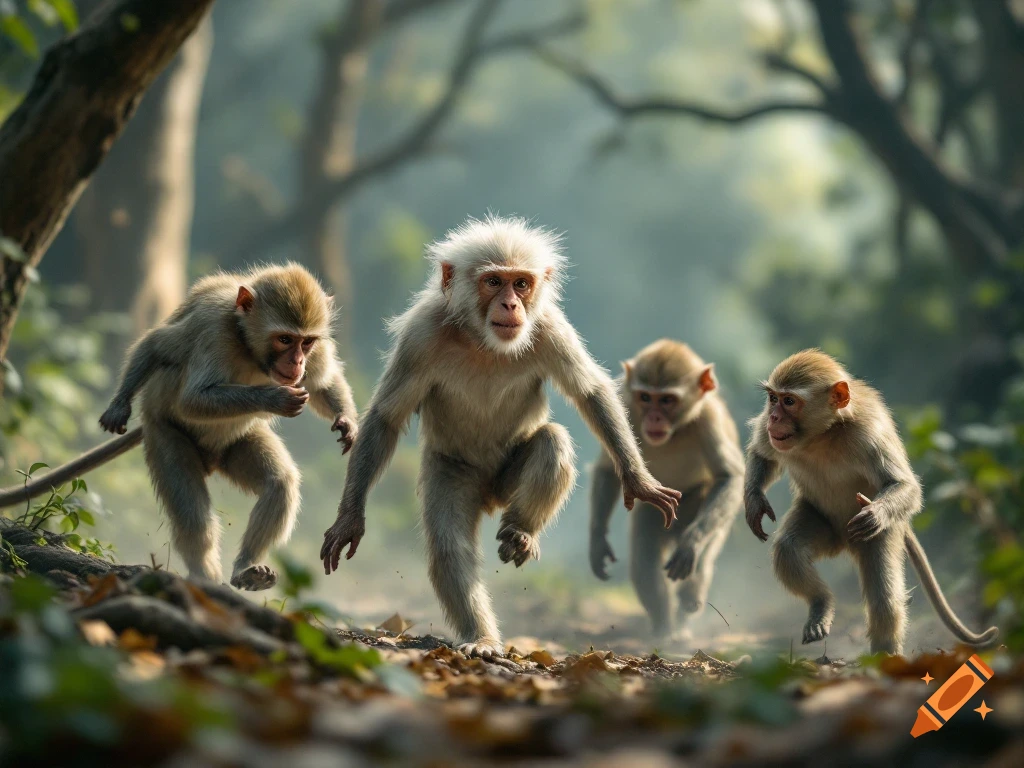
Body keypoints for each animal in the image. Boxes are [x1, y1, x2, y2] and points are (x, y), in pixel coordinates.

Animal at [0, 263, 358, 592]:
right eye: (285, 339)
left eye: (307, 342)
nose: (297, 363)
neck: (249, 347)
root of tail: (212, 460)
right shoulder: (213, 329)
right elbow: (188, 393)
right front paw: (276, 397)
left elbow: (322, 382)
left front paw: (347, 422)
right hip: (164, 434)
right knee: (192, 515)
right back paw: (205, 578)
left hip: (235, 444)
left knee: (278, 483)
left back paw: (247, 567)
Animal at [319, 215, 682, 658]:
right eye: (494, 282)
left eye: (521, 283)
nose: (510, 304)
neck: (483, 342)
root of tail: (492, 497)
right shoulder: (421, 336)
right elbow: (385, 419)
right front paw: (349, 519)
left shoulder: (550, 329)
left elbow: (590, 393)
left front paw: (638, 480)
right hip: (454, 470)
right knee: (450, 545)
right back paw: (482, 638)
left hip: (509, 485)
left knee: (552, 442)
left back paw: (520, 533)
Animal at [590, 340, 744, 640]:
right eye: (645, 397)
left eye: (667, 400)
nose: (655, 418)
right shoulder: (624, 402)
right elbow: (608, 469)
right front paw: (598, 540)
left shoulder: (709, 419)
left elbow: (728, 476)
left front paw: (691, 542)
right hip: (656, 512)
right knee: (645, 559)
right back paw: (664, 628)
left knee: (700, 565)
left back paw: (683, 619)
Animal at [744, 349, 998, 655]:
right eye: (773, 398)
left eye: (789, 401)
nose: (773, 417)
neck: (823, 434)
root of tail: (843, 543)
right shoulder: (775, 438)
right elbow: (762, 453)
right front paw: (754, 501)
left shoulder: (868, 435)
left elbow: (904, 486)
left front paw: (874, 513)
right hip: (823, 522)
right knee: (789, 549)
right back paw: (821, 605)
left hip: (882, 534)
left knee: (884, 598)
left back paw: (884, 656)